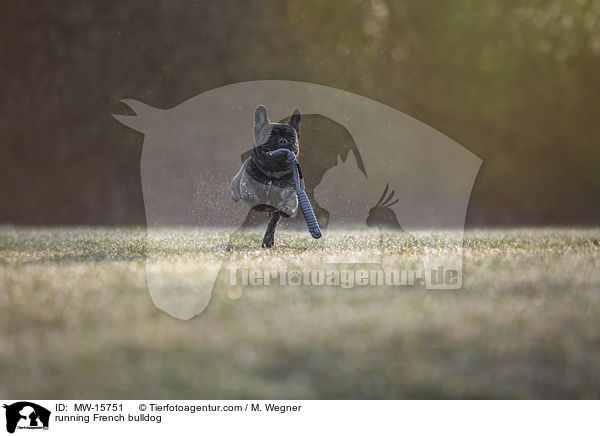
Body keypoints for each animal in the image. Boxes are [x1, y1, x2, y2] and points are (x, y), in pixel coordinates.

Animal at [232, 105, 302, 247]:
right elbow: (248, 185)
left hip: (274, 213)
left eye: (292, 137)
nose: (283, 140)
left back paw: (268, 242)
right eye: (270, 136)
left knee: (271, 225)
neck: (273, 171)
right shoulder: (247, 178)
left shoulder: (291, 189)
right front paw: (250, 194)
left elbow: (292, 199)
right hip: (236, 185)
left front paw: (288, 208)